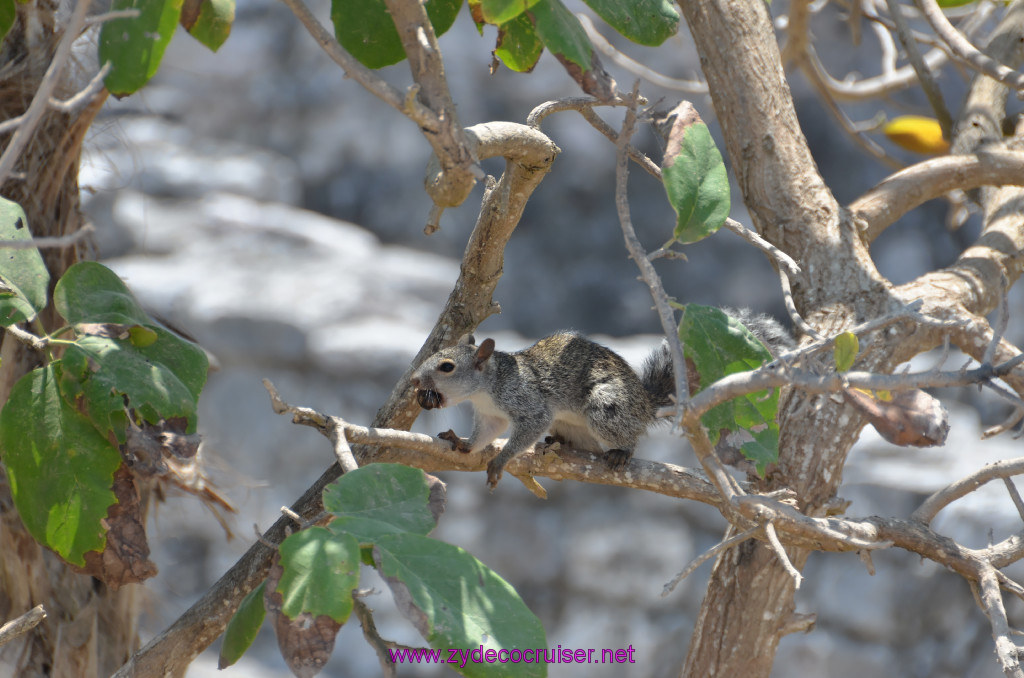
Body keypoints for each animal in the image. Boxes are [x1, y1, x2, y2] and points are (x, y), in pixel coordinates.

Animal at [411, 311, 794, 491]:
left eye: (446, 366)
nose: (414, 381)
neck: (486, 388)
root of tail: (645, 405)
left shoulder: (527, 401)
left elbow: (527, 429)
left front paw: (501, 461)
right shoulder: (490, 416)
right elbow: (484, 436)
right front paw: (463, 443)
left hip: (606, 408)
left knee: (629, 437)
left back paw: (621, 453)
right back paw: (562, 444)